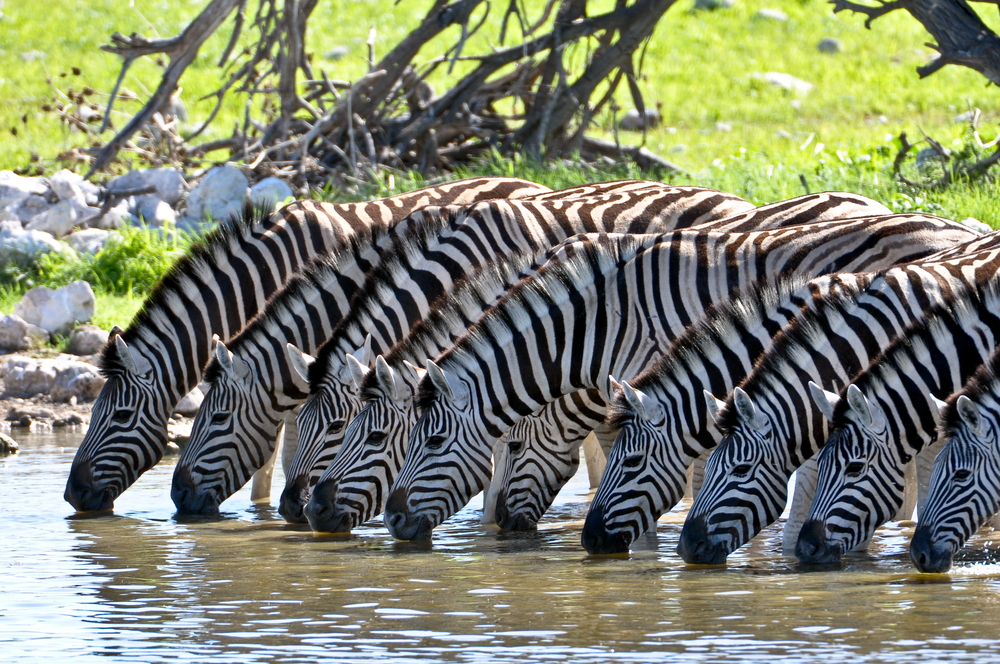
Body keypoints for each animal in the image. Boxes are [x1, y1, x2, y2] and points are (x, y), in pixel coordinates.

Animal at [63, 174, 552, 510]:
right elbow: (271, 458)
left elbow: (288, 453)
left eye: (120, 416)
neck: (265, 275)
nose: (71, 496)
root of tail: (533, 184)